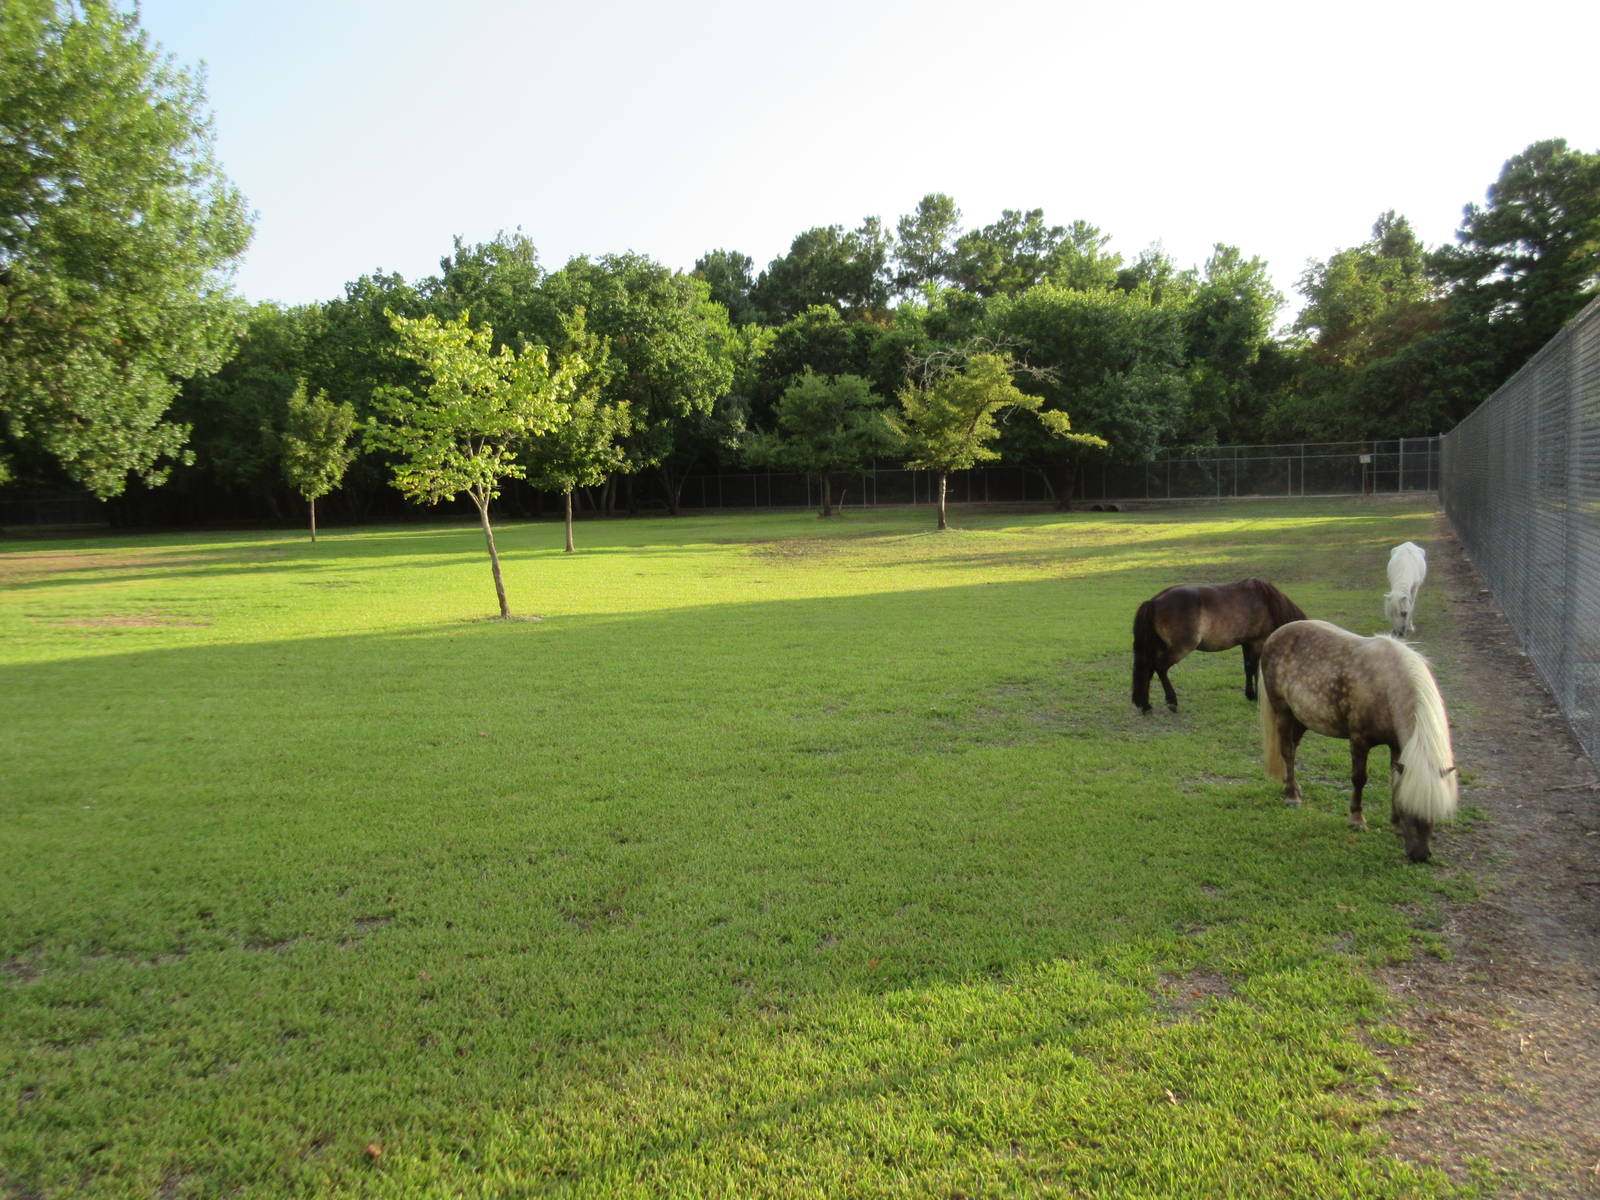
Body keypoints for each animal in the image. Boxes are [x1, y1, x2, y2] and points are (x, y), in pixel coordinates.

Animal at [1131, 579, 1306, 714]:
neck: (1267, 604)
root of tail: (1154, 602)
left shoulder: (1247, 643)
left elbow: (1248, 667)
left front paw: (1250, 694)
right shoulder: (1258, 642)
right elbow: (1257, 669)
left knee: (1148, 668)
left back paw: (1145, 705)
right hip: (1180, 648)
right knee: (1160, 667)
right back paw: (1171, 701)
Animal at [1258, 619, 1457, 862]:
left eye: (1434, 811)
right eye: (1409, 808)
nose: (1419, 855)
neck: (1386, 686)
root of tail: (1276, 634)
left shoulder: (1397, 746)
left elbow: (1394, 781)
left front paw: (1395, 825)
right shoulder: (1359, 741)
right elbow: (1359, 779)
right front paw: (1356, 819)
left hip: (1302, 717)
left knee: (1293, 749)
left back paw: (1294, 786)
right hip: (1284, 712)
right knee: (1286, 750)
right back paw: (1292, 796)